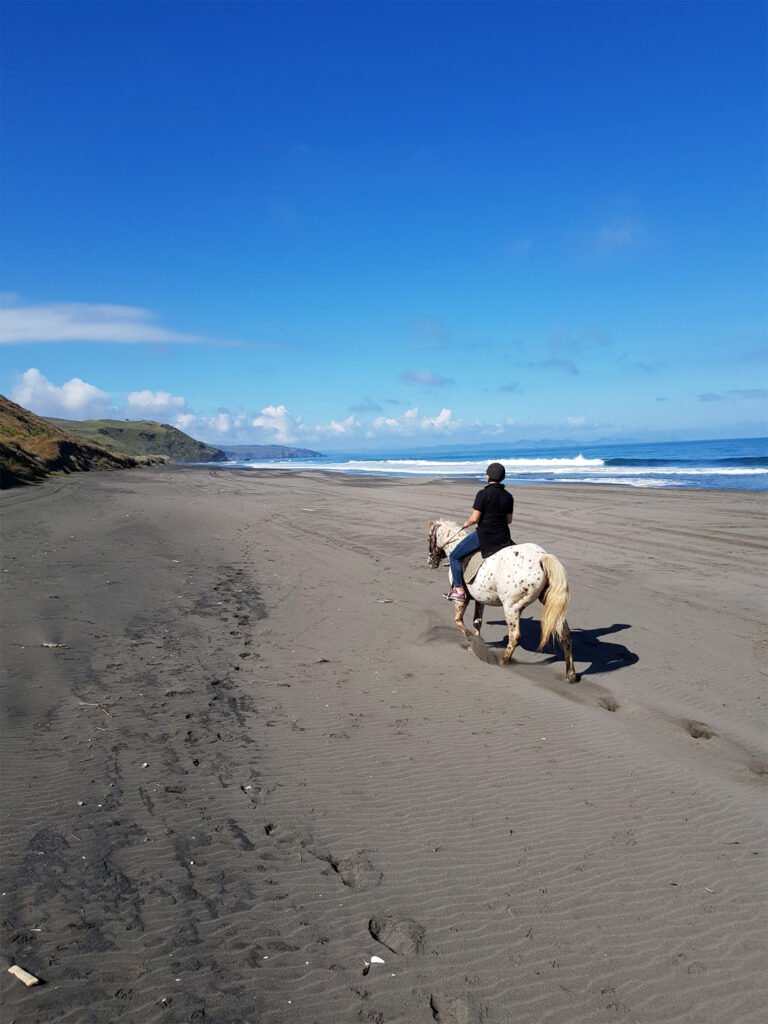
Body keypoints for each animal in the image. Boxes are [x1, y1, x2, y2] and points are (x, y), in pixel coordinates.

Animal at [427, 519, 578, 683]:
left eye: (429, 538)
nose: (430, 562)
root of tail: (541, 557)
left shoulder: (462, 599)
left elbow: (458, 620)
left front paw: (470, 639)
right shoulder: (480, 598)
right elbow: (477, 622)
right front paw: (477, 643)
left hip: (511, 607)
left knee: (515, 637)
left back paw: (503, 661)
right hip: (550, 603)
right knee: (566, 635)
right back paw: (570, 674)